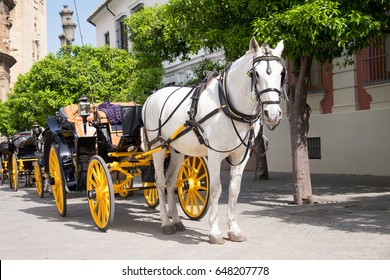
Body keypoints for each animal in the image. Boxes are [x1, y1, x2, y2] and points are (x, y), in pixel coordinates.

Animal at [140, 36, 284, 243]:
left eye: (281, 73)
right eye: (256, 74)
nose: (272, 114)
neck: (228, 104)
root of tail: (151, 97)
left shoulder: (241, 155)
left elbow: (234, 189)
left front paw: (234, 230)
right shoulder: (215, 155)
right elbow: (216, 189)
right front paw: (215, 232)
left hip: (177, 150)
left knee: (171, 181)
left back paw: (176, 221)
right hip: (158, 147)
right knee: (160, 182)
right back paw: (166, 223)